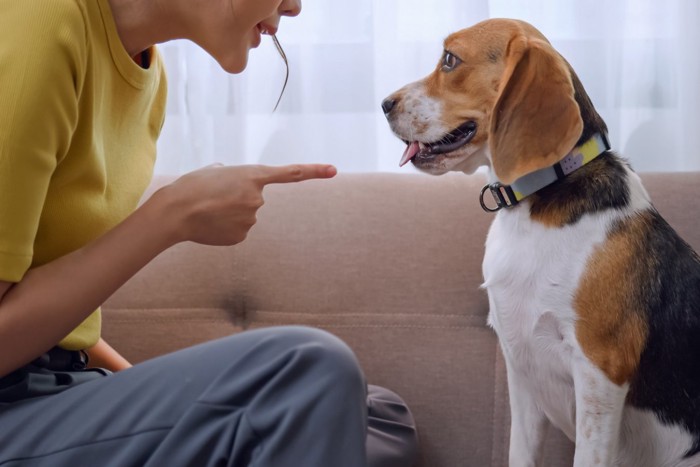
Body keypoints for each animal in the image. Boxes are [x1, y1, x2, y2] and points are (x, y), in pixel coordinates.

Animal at [382, 17, 700, 464]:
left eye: (449, 60)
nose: (384, 104)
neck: (531, 208)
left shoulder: (600, 375)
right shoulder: (521, 371)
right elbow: (520, 452)